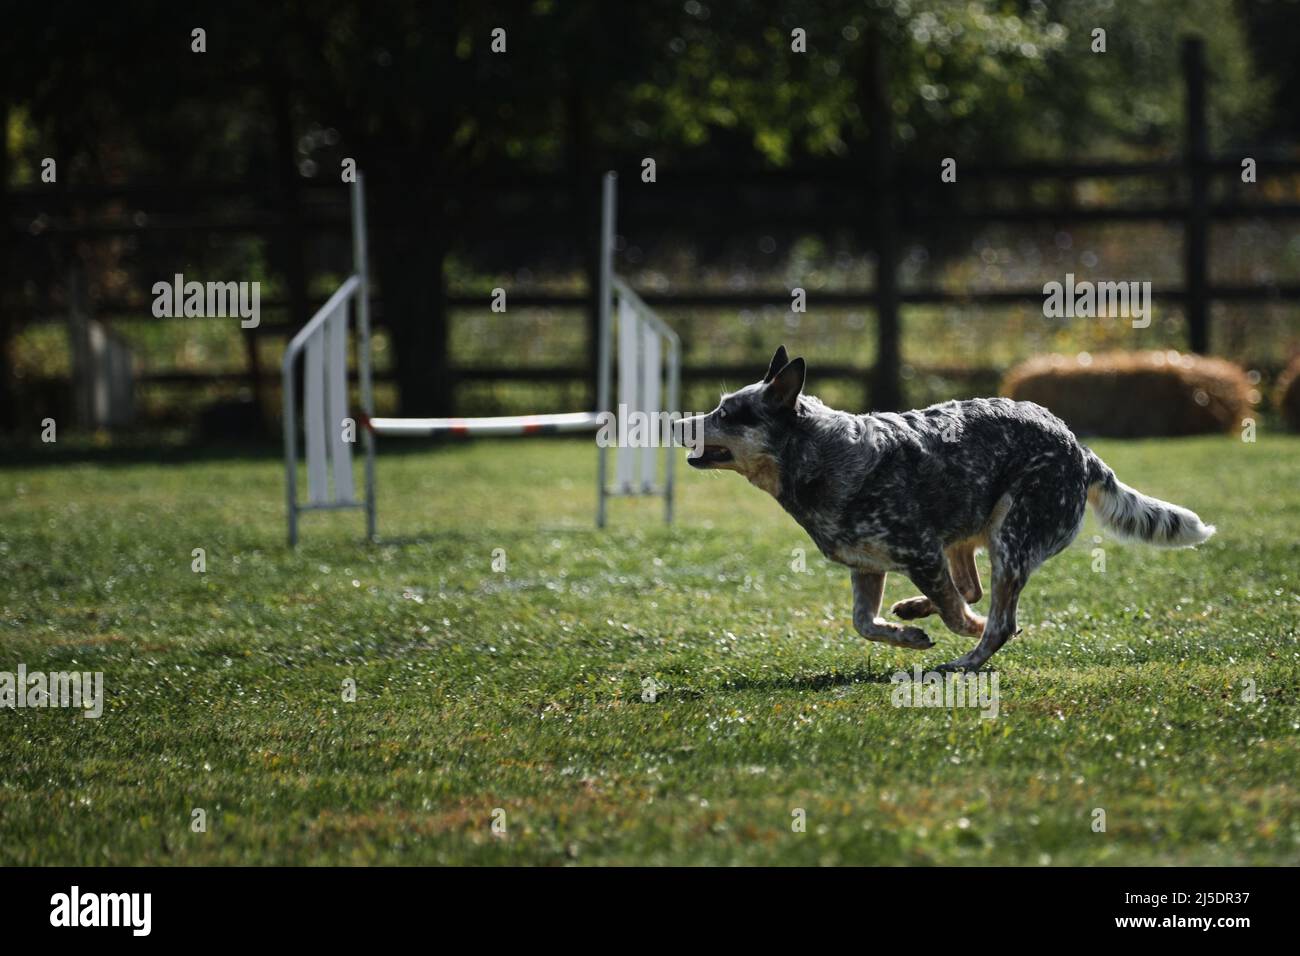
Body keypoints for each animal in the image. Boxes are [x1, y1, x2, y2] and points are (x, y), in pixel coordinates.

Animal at [676, 345, 1211, 671]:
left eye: (728, 413)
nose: (676, 422)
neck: (821, 455)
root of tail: (1078, 447)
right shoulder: (868, 565)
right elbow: (864, 623)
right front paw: (907, 634)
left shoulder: (920, 552)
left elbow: (960, 617)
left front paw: (957, 629)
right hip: (968, 532)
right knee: (970, 587)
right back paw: (916, 608)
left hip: (1010, 540)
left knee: (997, 619)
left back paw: (966, 658)